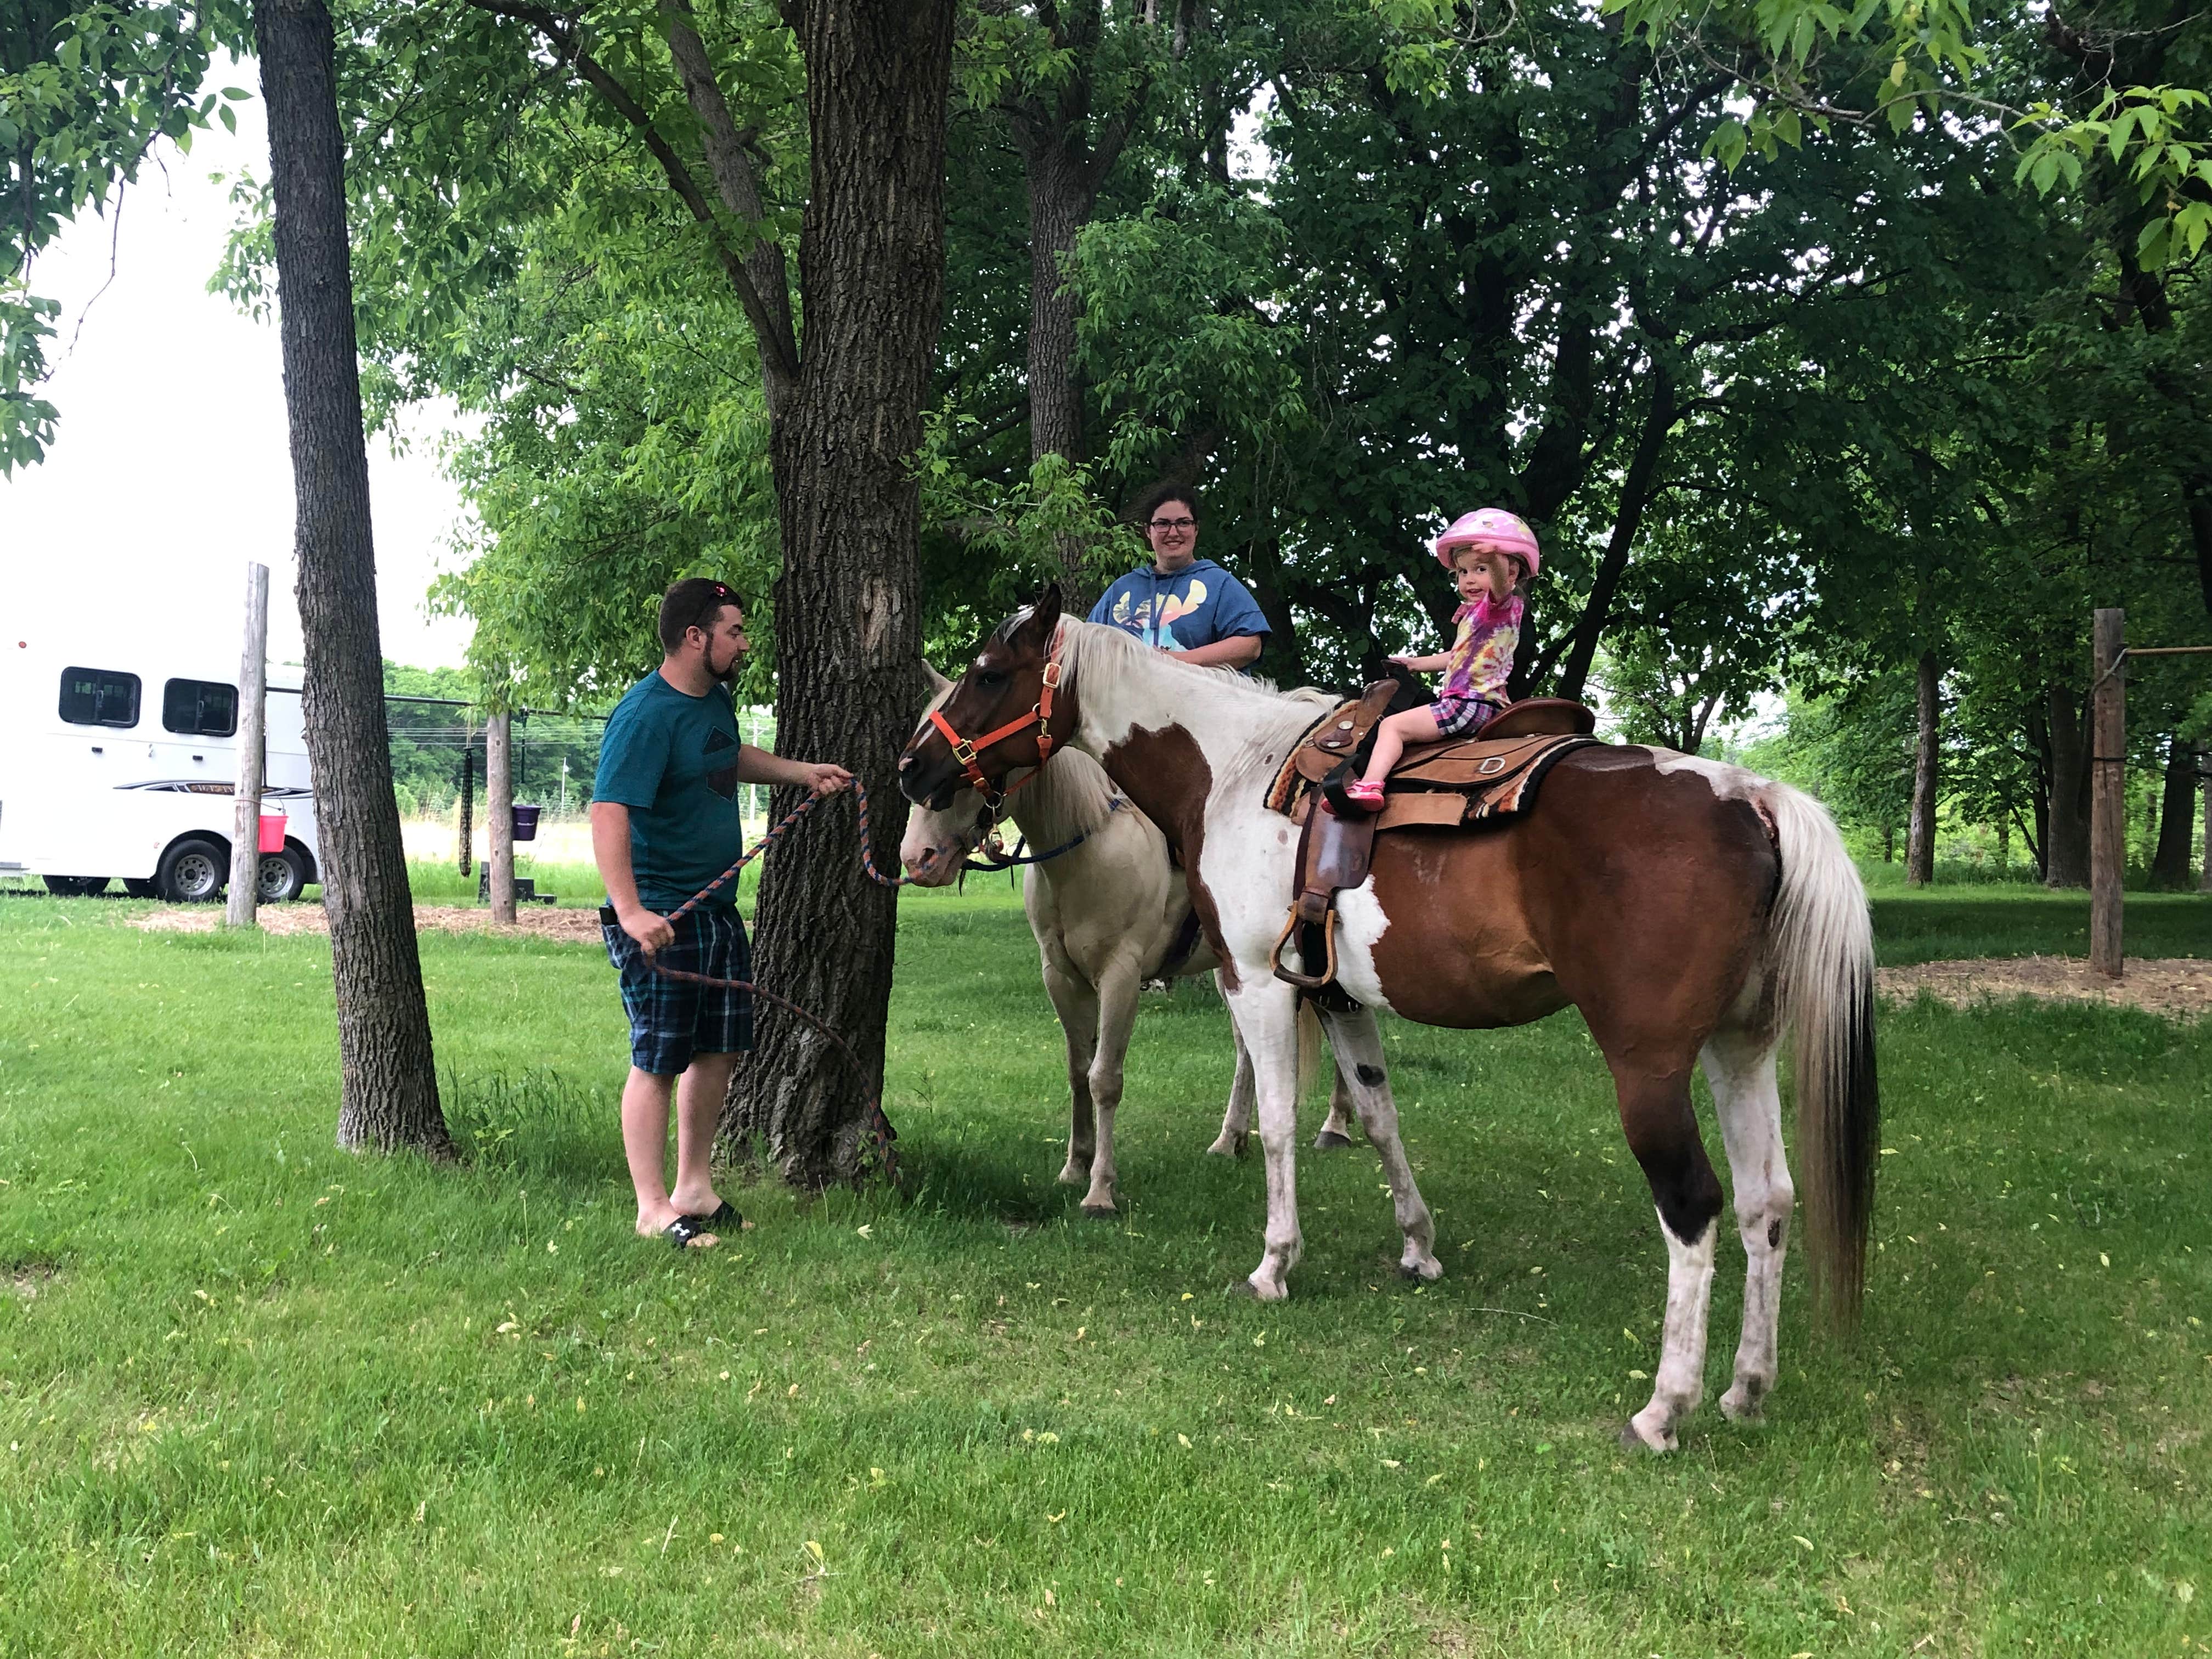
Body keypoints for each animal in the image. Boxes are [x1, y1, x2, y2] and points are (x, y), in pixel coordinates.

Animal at [898, 671, 1362, 1219]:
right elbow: (1078, 1070)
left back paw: (1336, 1125)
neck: (1087, 844)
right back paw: (1230, 1140)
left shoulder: (1120, 977)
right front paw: (1075, 1166)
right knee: (1247, 1049)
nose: (918, 859)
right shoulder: (1061, 977)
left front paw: (1101, 1189)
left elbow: (1105, 1078)